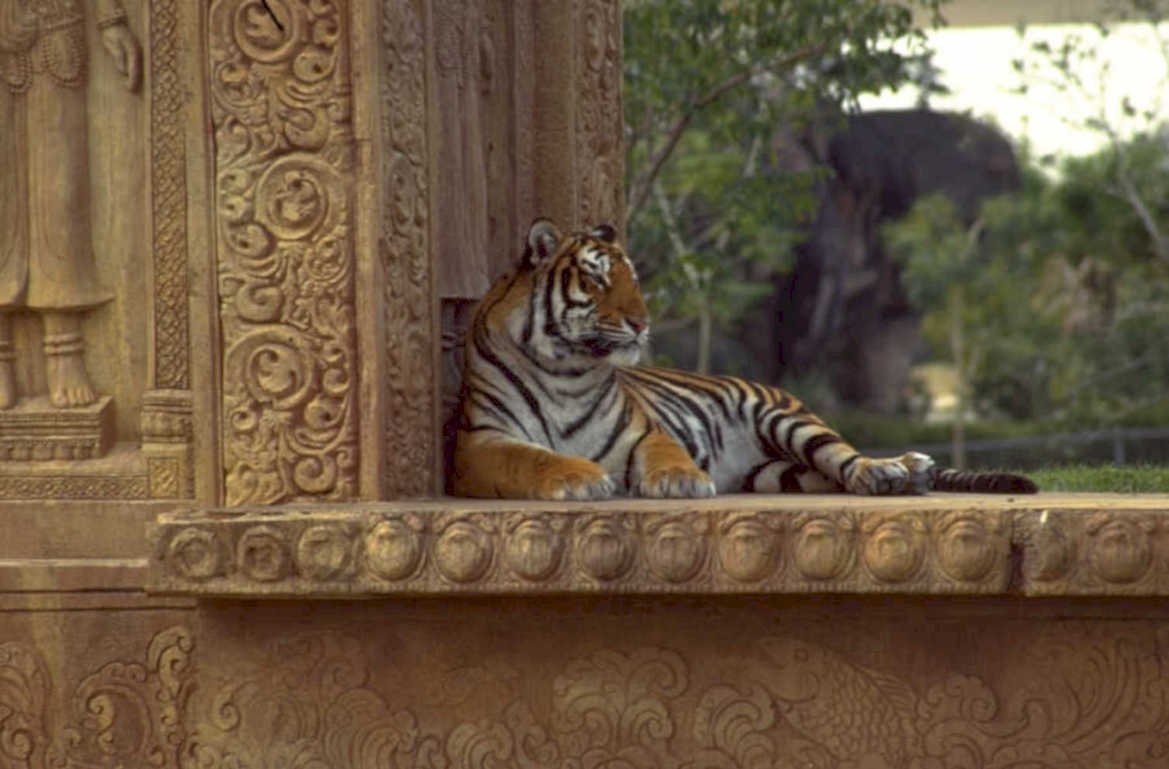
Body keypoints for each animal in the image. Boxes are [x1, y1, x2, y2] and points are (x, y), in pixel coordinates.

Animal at [450, 218, 1037, 500]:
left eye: (632, 279)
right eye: (596, 280)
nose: (642, 321)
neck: (565, 369)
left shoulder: (644, 431)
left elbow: (666, 451)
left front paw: (681, 481)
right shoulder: (480, 441)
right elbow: (534, 458)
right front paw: (580, 477)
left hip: (787, 421)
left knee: (846, 457)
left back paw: (892, 470)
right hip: (780, 474)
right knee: (830, 475)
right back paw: (908, 473)